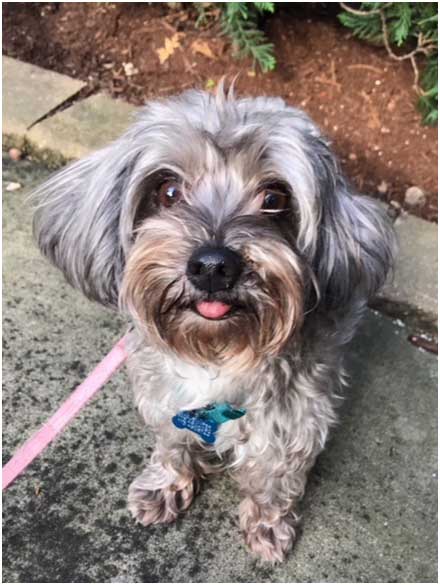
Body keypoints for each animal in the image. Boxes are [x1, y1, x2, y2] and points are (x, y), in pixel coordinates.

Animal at [32, 86, 394, 560]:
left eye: (275, 198)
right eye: (168, 190)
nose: (213, 266)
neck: (219, 352)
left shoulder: (293, 420)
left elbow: (272, 478)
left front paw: (268, 522)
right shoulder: (165, 401)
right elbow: (173, 446)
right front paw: (166, 484)